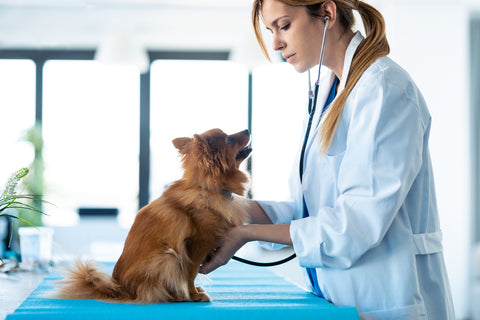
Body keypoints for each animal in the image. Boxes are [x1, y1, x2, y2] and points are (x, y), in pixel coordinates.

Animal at [58, 128, 253, 302]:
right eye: (229, 140)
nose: (247, 129)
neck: (207, 190)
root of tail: (119, 289)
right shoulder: (197, 244)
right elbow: (190, 274)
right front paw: (193, 294)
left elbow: (191, 274)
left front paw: (194, 292)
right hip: (168, 256)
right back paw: (178, 296)